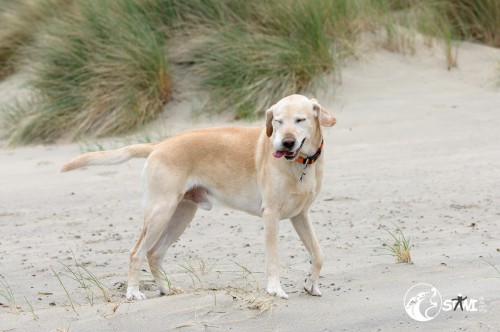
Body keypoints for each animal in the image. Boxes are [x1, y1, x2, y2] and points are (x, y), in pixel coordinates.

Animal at [61, 94, 336, 300]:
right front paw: (275, 289)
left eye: (300, 120)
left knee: (154, 254)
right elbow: (273, 258)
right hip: (160, 212)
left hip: (180, 215)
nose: (285, 143)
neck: (302, 164)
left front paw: (311, 285)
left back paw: (167, 289)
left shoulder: (300, 215)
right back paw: (133, 292)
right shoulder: (271, 216)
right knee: (136, 252)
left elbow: (319, 254)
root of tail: (159, 145)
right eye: (277, 121)